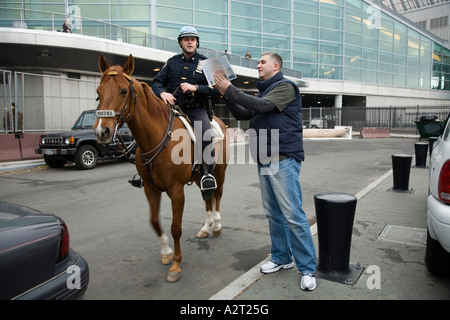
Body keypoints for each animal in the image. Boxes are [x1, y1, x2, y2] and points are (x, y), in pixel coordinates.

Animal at [94, 55, 229, 282]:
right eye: (98, 91)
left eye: (123, 91)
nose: (102, 131)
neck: (157, 138)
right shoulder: (150, 188)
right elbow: (155, 221)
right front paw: (166, 253)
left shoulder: (176, 190)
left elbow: (175, 228)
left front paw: (176, 265)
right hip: (201, 175)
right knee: (207, 196)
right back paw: (206, 227)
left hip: (219, 171)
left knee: (217, 195)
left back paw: (217, 225)